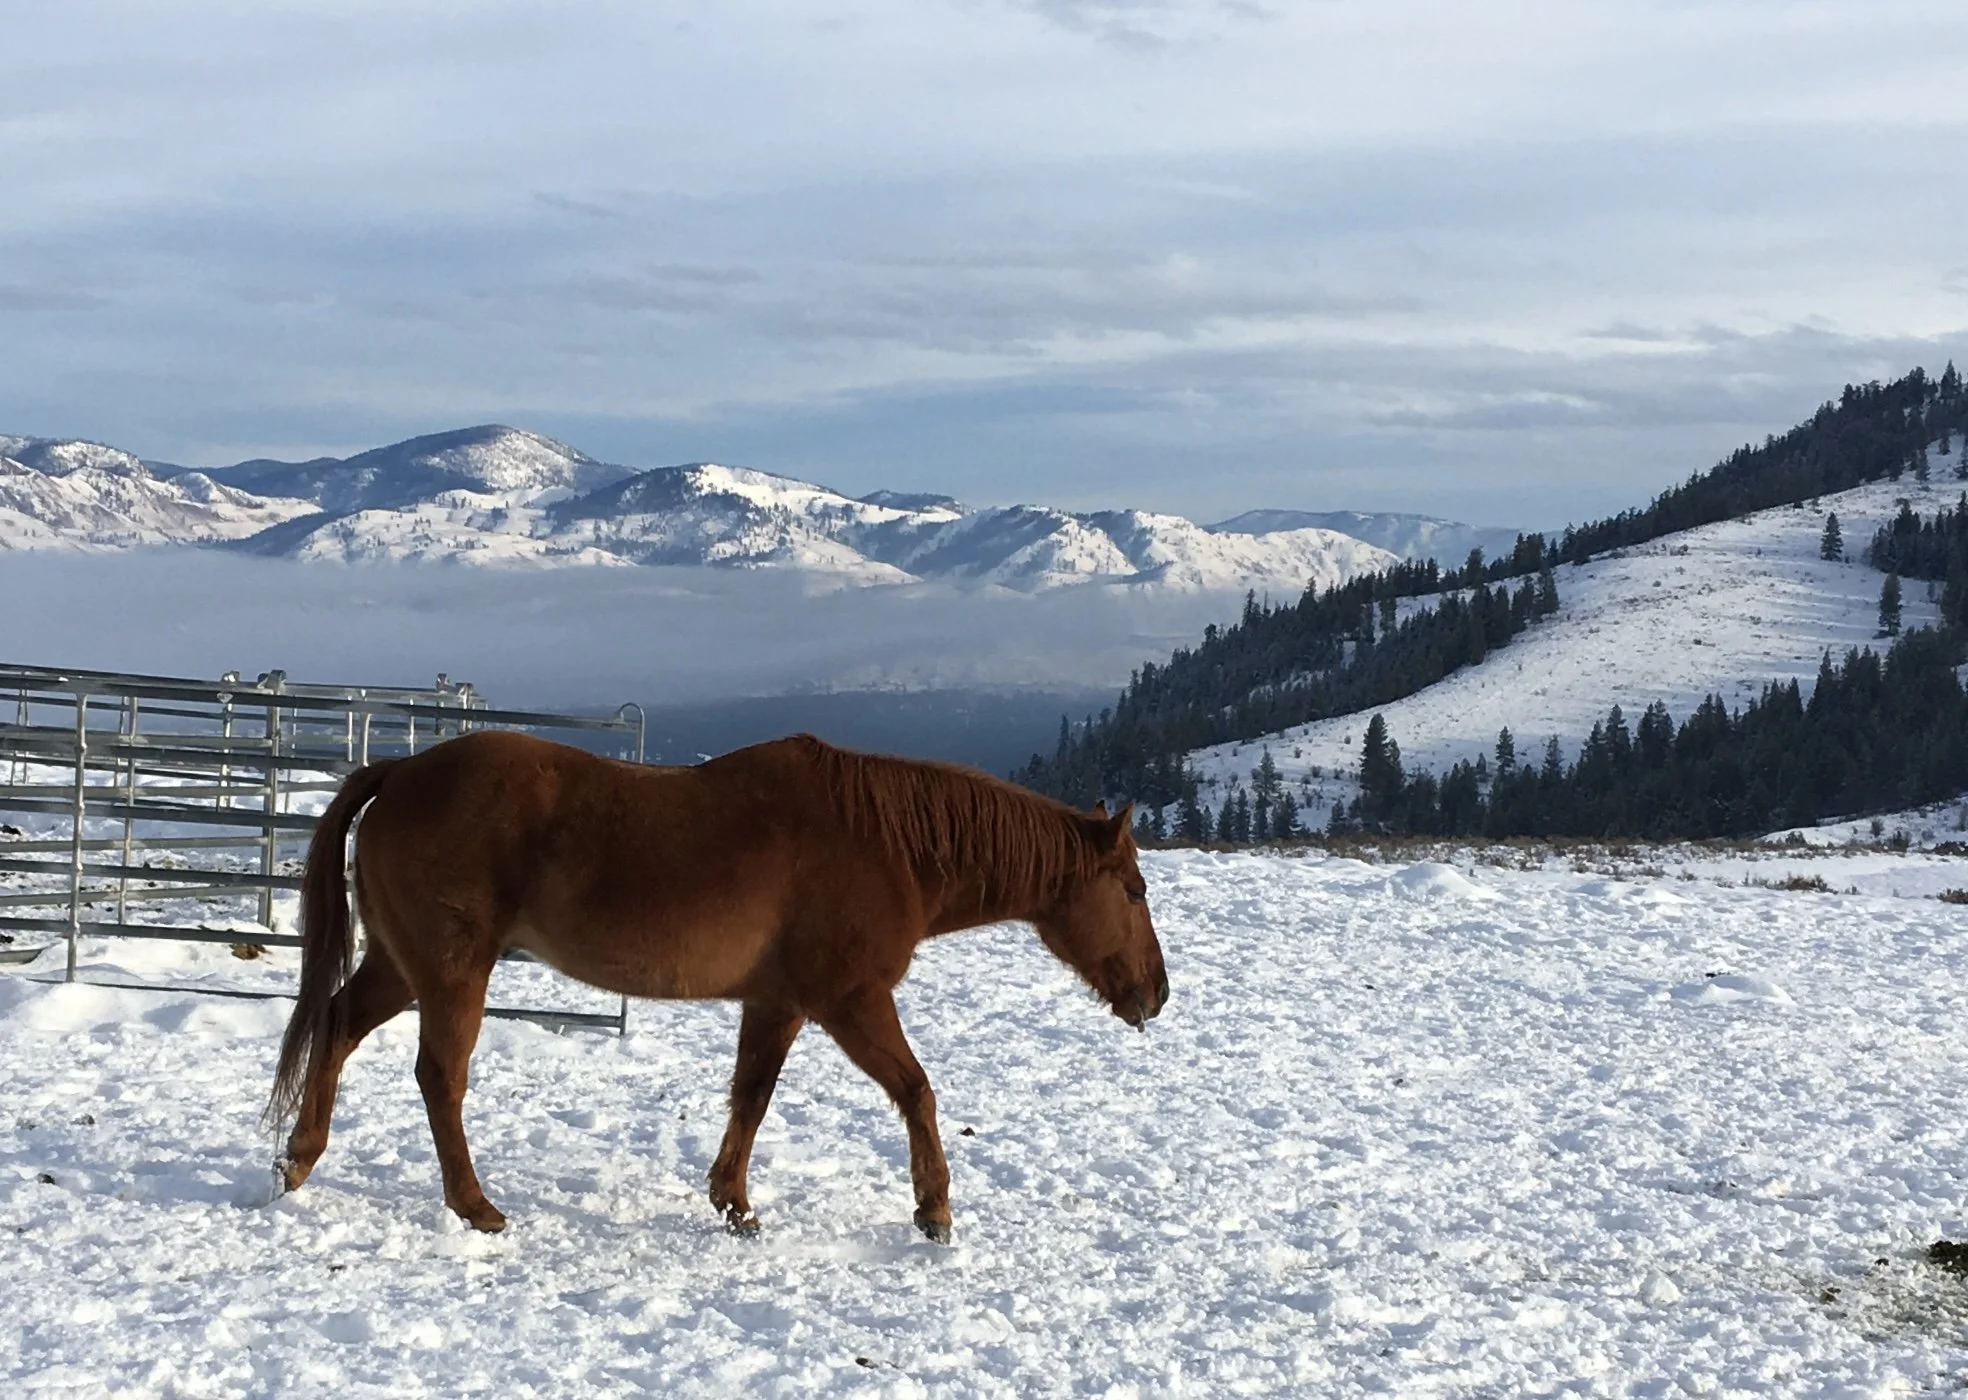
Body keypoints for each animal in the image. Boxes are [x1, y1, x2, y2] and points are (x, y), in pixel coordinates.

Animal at [266, 729, 1169, 1241]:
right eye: (1132, 890)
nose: (1156, 992)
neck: (889, 847)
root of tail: (401, 770)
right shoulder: (850, 1003)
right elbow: (917, 1091)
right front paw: (934, 1210)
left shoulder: (778, 1005)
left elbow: (751, 1099)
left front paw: (732, 1202)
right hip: (453, 971)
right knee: (440, 1077)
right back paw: (473, 1205)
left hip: (399, 964)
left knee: (337, 1027)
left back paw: (299, 1160)